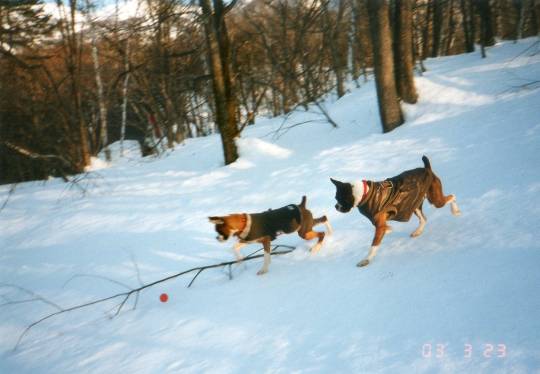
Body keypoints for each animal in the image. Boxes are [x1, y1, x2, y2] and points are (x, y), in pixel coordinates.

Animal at [332, 156, 462, 268]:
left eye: (340, 199)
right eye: (336, 198)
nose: (335, 206)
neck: (366, 193)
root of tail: (427, 169)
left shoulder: (379, 225)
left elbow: (373, 245)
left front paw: (366, 260)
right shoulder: (380, 223)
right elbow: (385, 228)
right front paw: (389, 229)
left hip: (435, 200)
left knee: (452, 196)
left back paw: (456, 211)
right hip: (414, 204)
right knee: (424, 219)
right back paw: (418, 232)